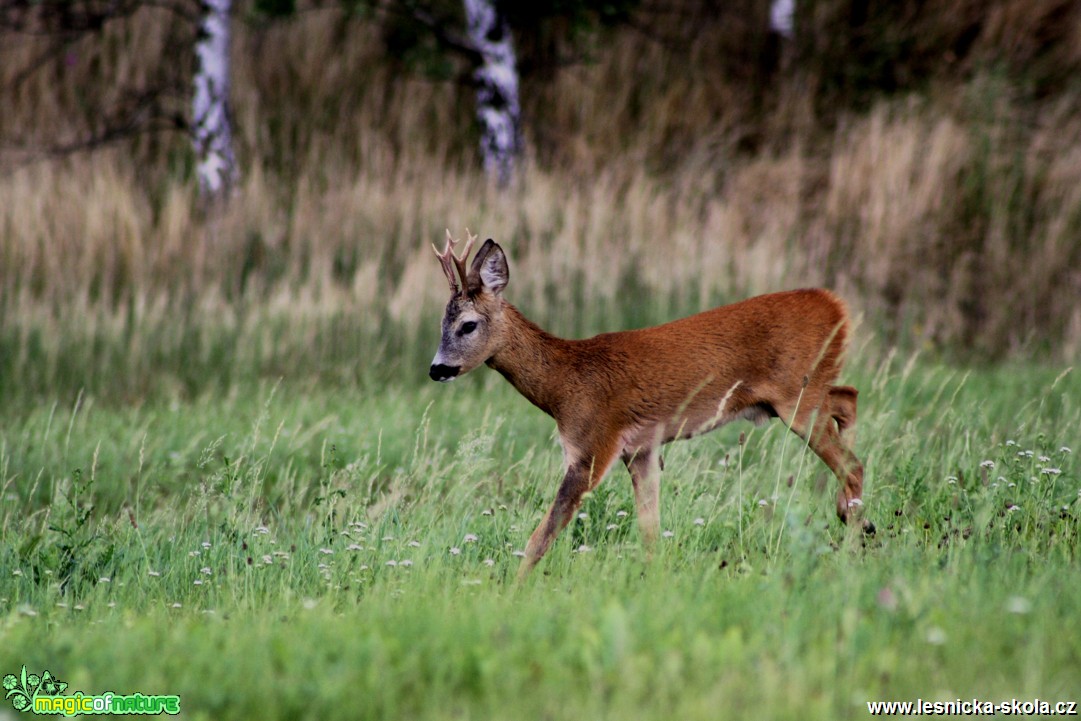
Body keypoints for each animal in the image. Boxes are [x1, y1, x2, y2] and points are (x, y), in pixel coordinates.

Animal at [425, 231, 873, 579]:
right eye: (441, 323)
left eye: (468, 325)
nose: (436, 369)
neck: (563, 385)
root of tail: (837, 306)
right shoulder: (640, 449)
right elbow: (650, 530)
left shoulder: (593, 445)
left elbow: (543, 534)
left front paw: (511, 589)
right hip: (804, 394)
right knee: (848, 398)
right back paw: (855, 516)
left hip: (797, 395)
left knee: (852, 461)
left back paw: (853, 539)